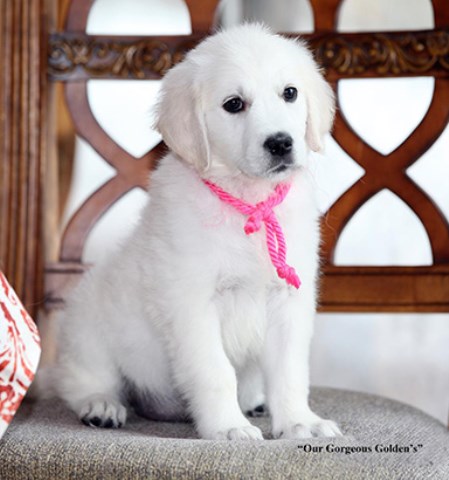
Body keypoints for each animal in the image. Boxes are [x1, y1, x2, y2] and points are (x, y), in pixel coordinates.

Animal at [55, 24, 344, 440]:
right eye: (234, 104)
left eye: (289, 93)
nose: (280, 143)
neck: (247, 204)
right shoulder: (190, 304)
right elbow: (215, 372)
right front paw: (228, 428)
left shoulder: (289, 301)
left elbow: (290, 373)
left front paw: (299, 422)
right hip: (87, 327)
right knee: (81, 380)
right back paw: (101, 405)